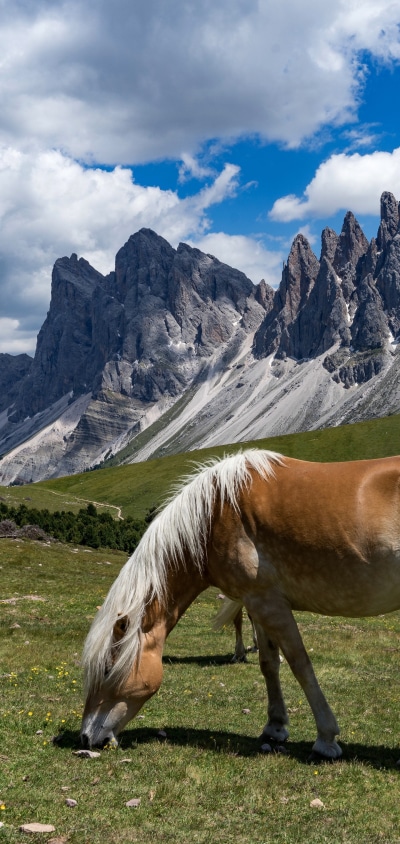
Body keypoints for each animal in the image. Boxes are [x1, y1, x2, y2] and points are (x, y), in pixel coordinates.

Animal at [81, 449, 400, 759]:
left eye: (107, 670)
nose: (85, 737)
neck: (216, 515)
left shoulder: (269, 604)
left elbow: (300, 664)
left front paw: (326, 738)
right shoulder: (258, 604)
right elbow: (269, 663)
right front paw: (275, 728)